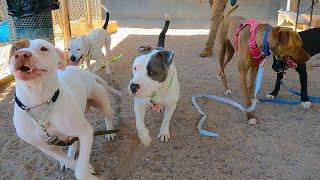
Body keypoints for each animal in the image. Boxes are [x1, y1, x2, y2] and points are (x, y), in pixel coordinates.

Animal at [10, 38, 120, 179]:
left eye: (43, 48)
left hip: (103, 102)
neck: (38, 102)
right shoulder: (46, 147)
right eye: (15, 48)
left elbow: (80, 170)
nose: (21, 54)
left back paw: (110, 132)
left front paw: (87, 173)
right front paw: (83, 166)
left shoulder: (86, 132)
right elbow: (68, 161)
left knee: (108, 116)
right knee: (72, 144)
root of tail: (87, 73)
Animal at [129, 14, 180, 146]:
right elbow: (139, 124)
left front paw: (164, 132)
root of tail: (160, 47)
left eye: (152, 72)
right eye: (135, 68)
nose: (133, 87)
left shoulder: (171, 105)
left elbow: (166, 120)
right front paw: (145, 138)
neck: (158, 92)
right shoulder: (138, 104)